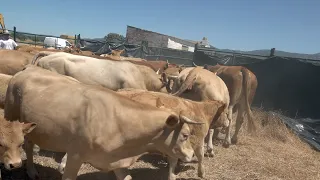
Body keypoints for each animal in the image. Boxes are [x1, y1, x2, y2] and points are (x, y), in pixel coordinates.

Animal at [4, 65, 202, 180]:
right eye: (185, 135)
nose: (192, 155)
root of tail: (26, 70)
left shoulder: (116, 161)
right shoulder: (75, 155)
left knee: (29, 143)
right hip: (10, 114)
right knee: (25, 146)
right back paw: (30, 171)